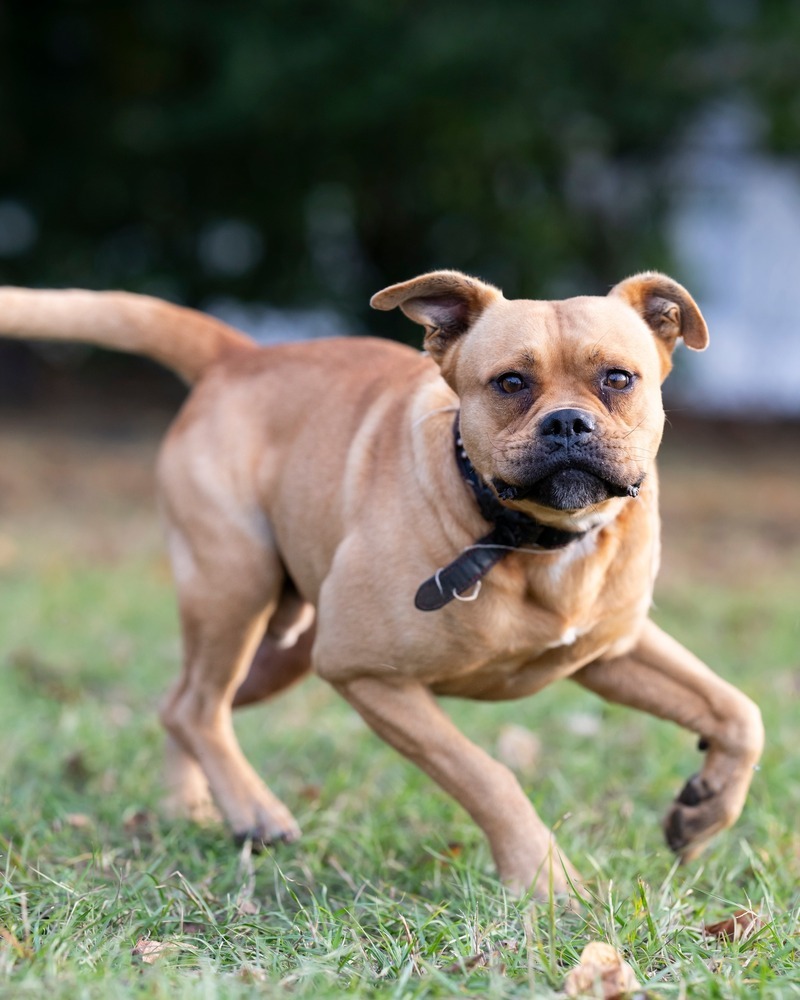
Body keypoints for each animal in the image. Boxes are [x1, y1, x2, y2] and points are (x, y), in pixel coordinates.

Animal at [0, 274, 764, 900]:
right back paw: (253, 810)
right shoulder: (363, 672)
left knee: (179, 702)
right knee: (195, 706)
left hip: (275, 647)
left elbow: (738, 713)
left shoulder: (612, 651)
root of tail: (238, 355)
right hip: (236, 591)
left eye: (618, 378)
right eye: (510, 384)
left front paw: (704, 812)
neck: (526, 537)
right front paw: (547, 881)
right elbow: (487, 775)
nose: (568, 422)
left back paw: (192, 806)